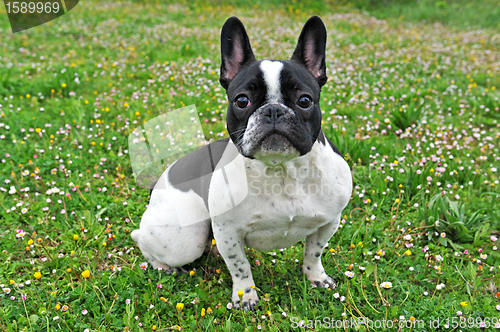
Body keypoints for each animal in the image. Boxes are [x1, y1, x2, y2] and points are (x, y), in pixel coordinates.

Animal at [131, 15, 354, 312]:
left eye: (305, 100)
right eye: (242, 100)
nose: (273, 111)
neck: (281, 170)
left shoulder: (328, 222)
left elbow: (314, 253)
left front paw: (316, 278)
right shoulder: (228, 232)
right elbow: (240, 266)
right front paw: (246, 296)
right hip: (185, 240)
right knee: (144, 239)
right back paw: (164, 267)